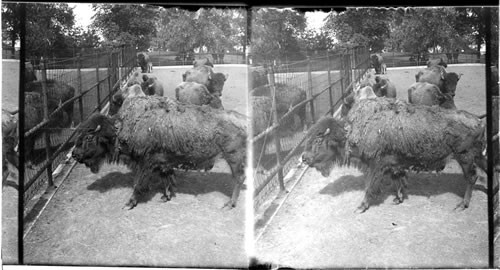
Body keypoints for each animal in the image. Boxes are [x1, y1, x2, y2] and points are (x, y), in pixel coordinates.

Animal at [71, 96, 247, 210]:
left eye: (88, 137)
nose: (74, 154)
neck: (121, 128)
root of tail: (243, 120)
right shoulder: (163, 163)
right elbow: (166, 179)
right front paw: (165, 197)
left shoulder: (146, 163)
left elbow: (138, 184)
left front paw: (129, 203)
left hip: (233, 157)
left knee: (239, 178)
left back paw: (229, 205)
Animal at [302, 97, 486, 213]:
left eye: (318, 141)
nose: (304, 158)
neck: (352, 131)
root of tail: (477, 120)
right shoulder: (393, 164)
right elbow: (398, 179)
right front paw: (398, 198)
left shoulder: (376, 166)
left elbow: (370, 186)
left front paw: (361, 207)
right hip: (477, 156)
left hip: (465, 157)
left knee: (472, 178)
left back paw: (462, 205)